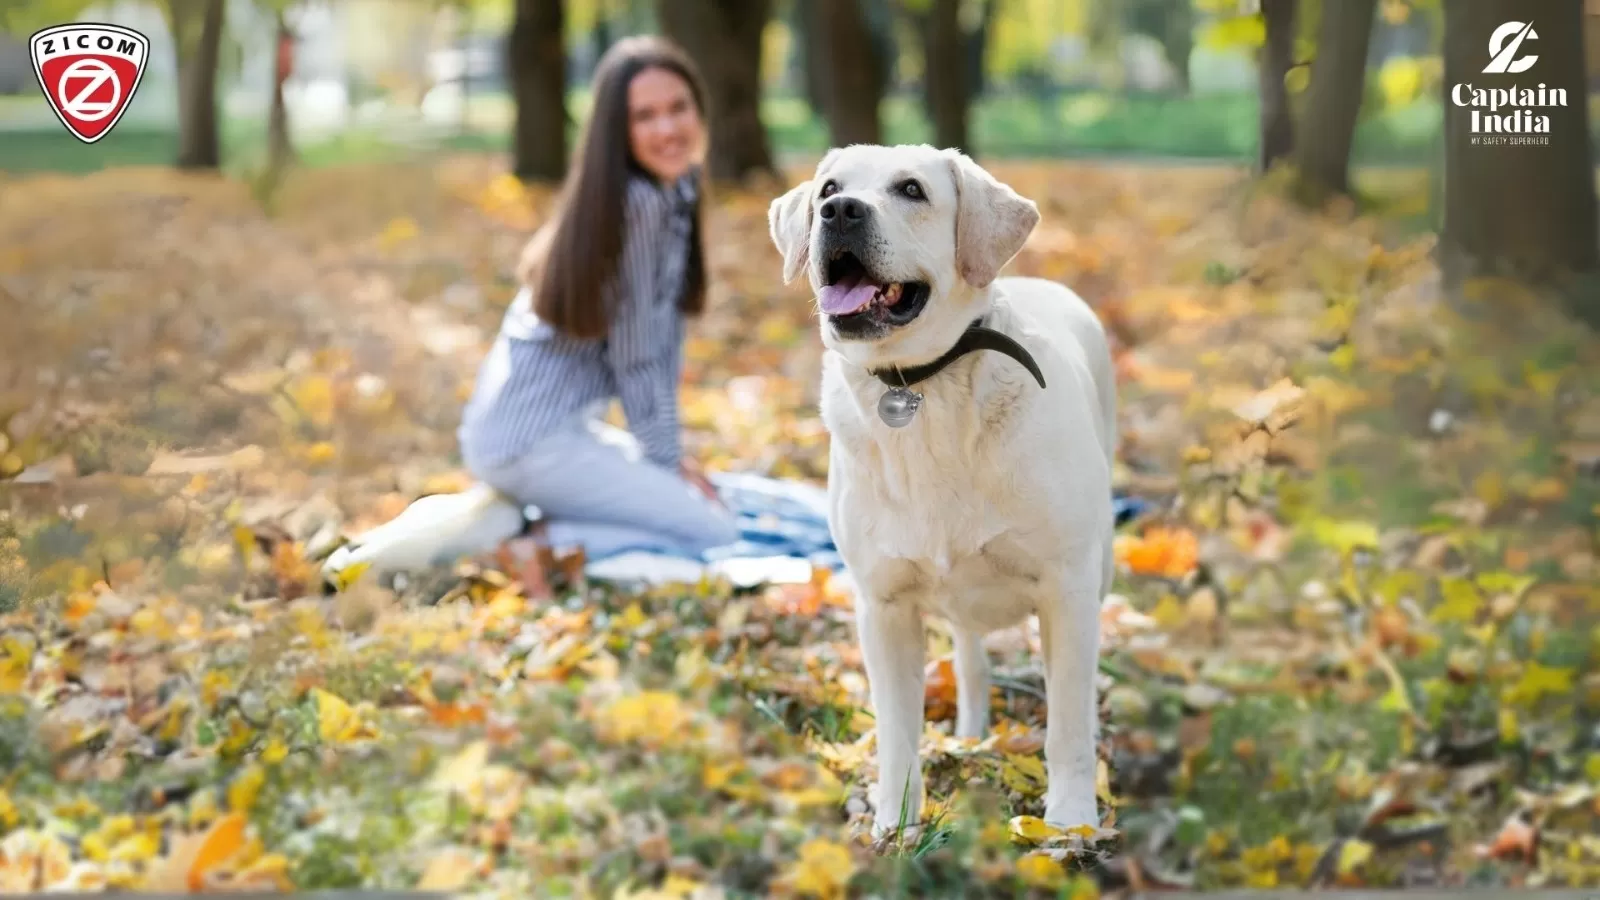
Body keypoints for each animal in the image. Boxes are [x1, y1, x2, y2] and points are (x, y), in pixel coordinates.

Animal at [764, 145, 1113, 832]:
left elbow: (1066, 725)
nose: (839, 212)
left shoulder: (1067, 588)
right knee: (971, 657)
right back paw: (972, 734)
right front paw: (895, 825)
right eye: (828, 189)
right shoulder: (883, 604)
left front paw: (1068, 822)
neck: (919, 384)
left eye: (911, 190)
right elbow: (898, 729)